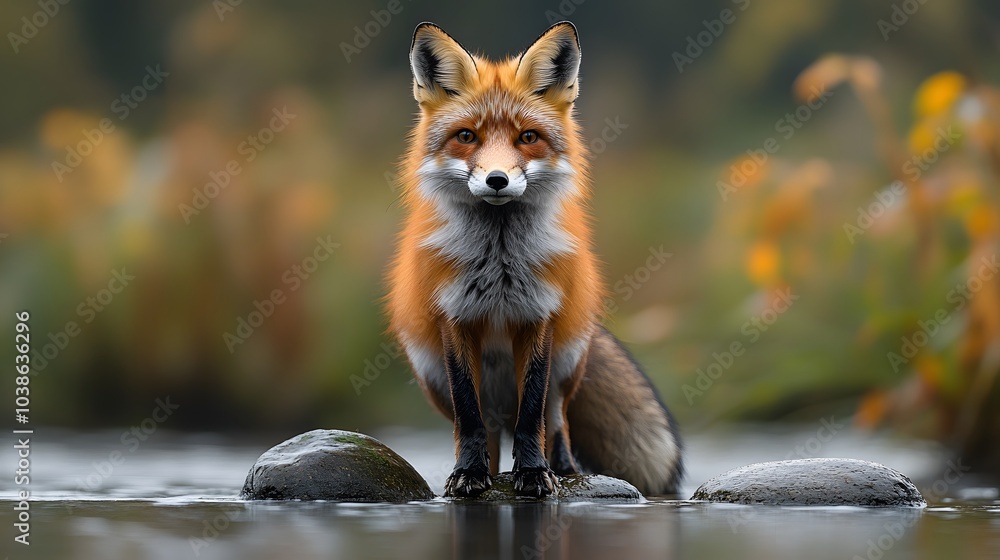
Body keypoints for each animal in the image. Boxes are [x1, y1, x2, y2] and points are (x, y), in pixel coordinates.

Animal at [385, 21, 683, 498]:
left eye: (527, 137)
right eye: (466, 136)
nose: (497, 179)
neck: (499, 264)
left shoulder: (538, 317)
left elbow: (533, 415)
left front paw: (533, 473)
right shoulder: (455, 319)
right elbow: (469, 418)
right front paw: (469, 474)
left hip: (568, 361)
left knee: (555, 419)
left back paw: (562, 469)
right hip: (433, 374)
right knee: (485, 428)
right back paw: (481, 469)